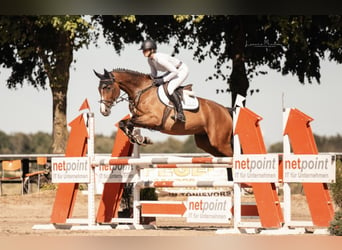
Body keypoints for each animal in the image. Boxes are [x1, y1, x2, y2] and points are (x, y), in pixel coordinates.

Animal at [93, 68, 234, 158]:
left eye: (108, 87)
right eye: (99, 89)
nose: (104, 111)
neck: (142, 91)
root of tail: (225, 110)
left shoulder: (153, 119)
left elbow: (129, 122)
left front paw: (141, 139)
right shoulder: (140, 118)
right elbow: (124, 123)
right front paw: (139, 139)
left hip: (219, 142)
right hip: (206, 143)